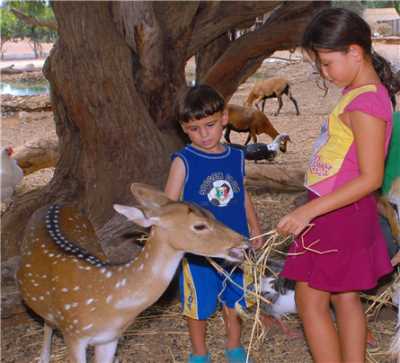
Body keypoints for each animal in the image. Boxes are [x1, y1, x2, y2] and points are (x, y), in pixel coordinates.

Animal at [17, 183, 248, 363]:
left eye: (213, 215)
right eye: (199, 226)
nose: (243, 242)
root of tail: (56, 204)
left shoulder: (109, 338)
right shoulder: (74, 334)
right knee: (47, 322)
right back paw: (43, 357)